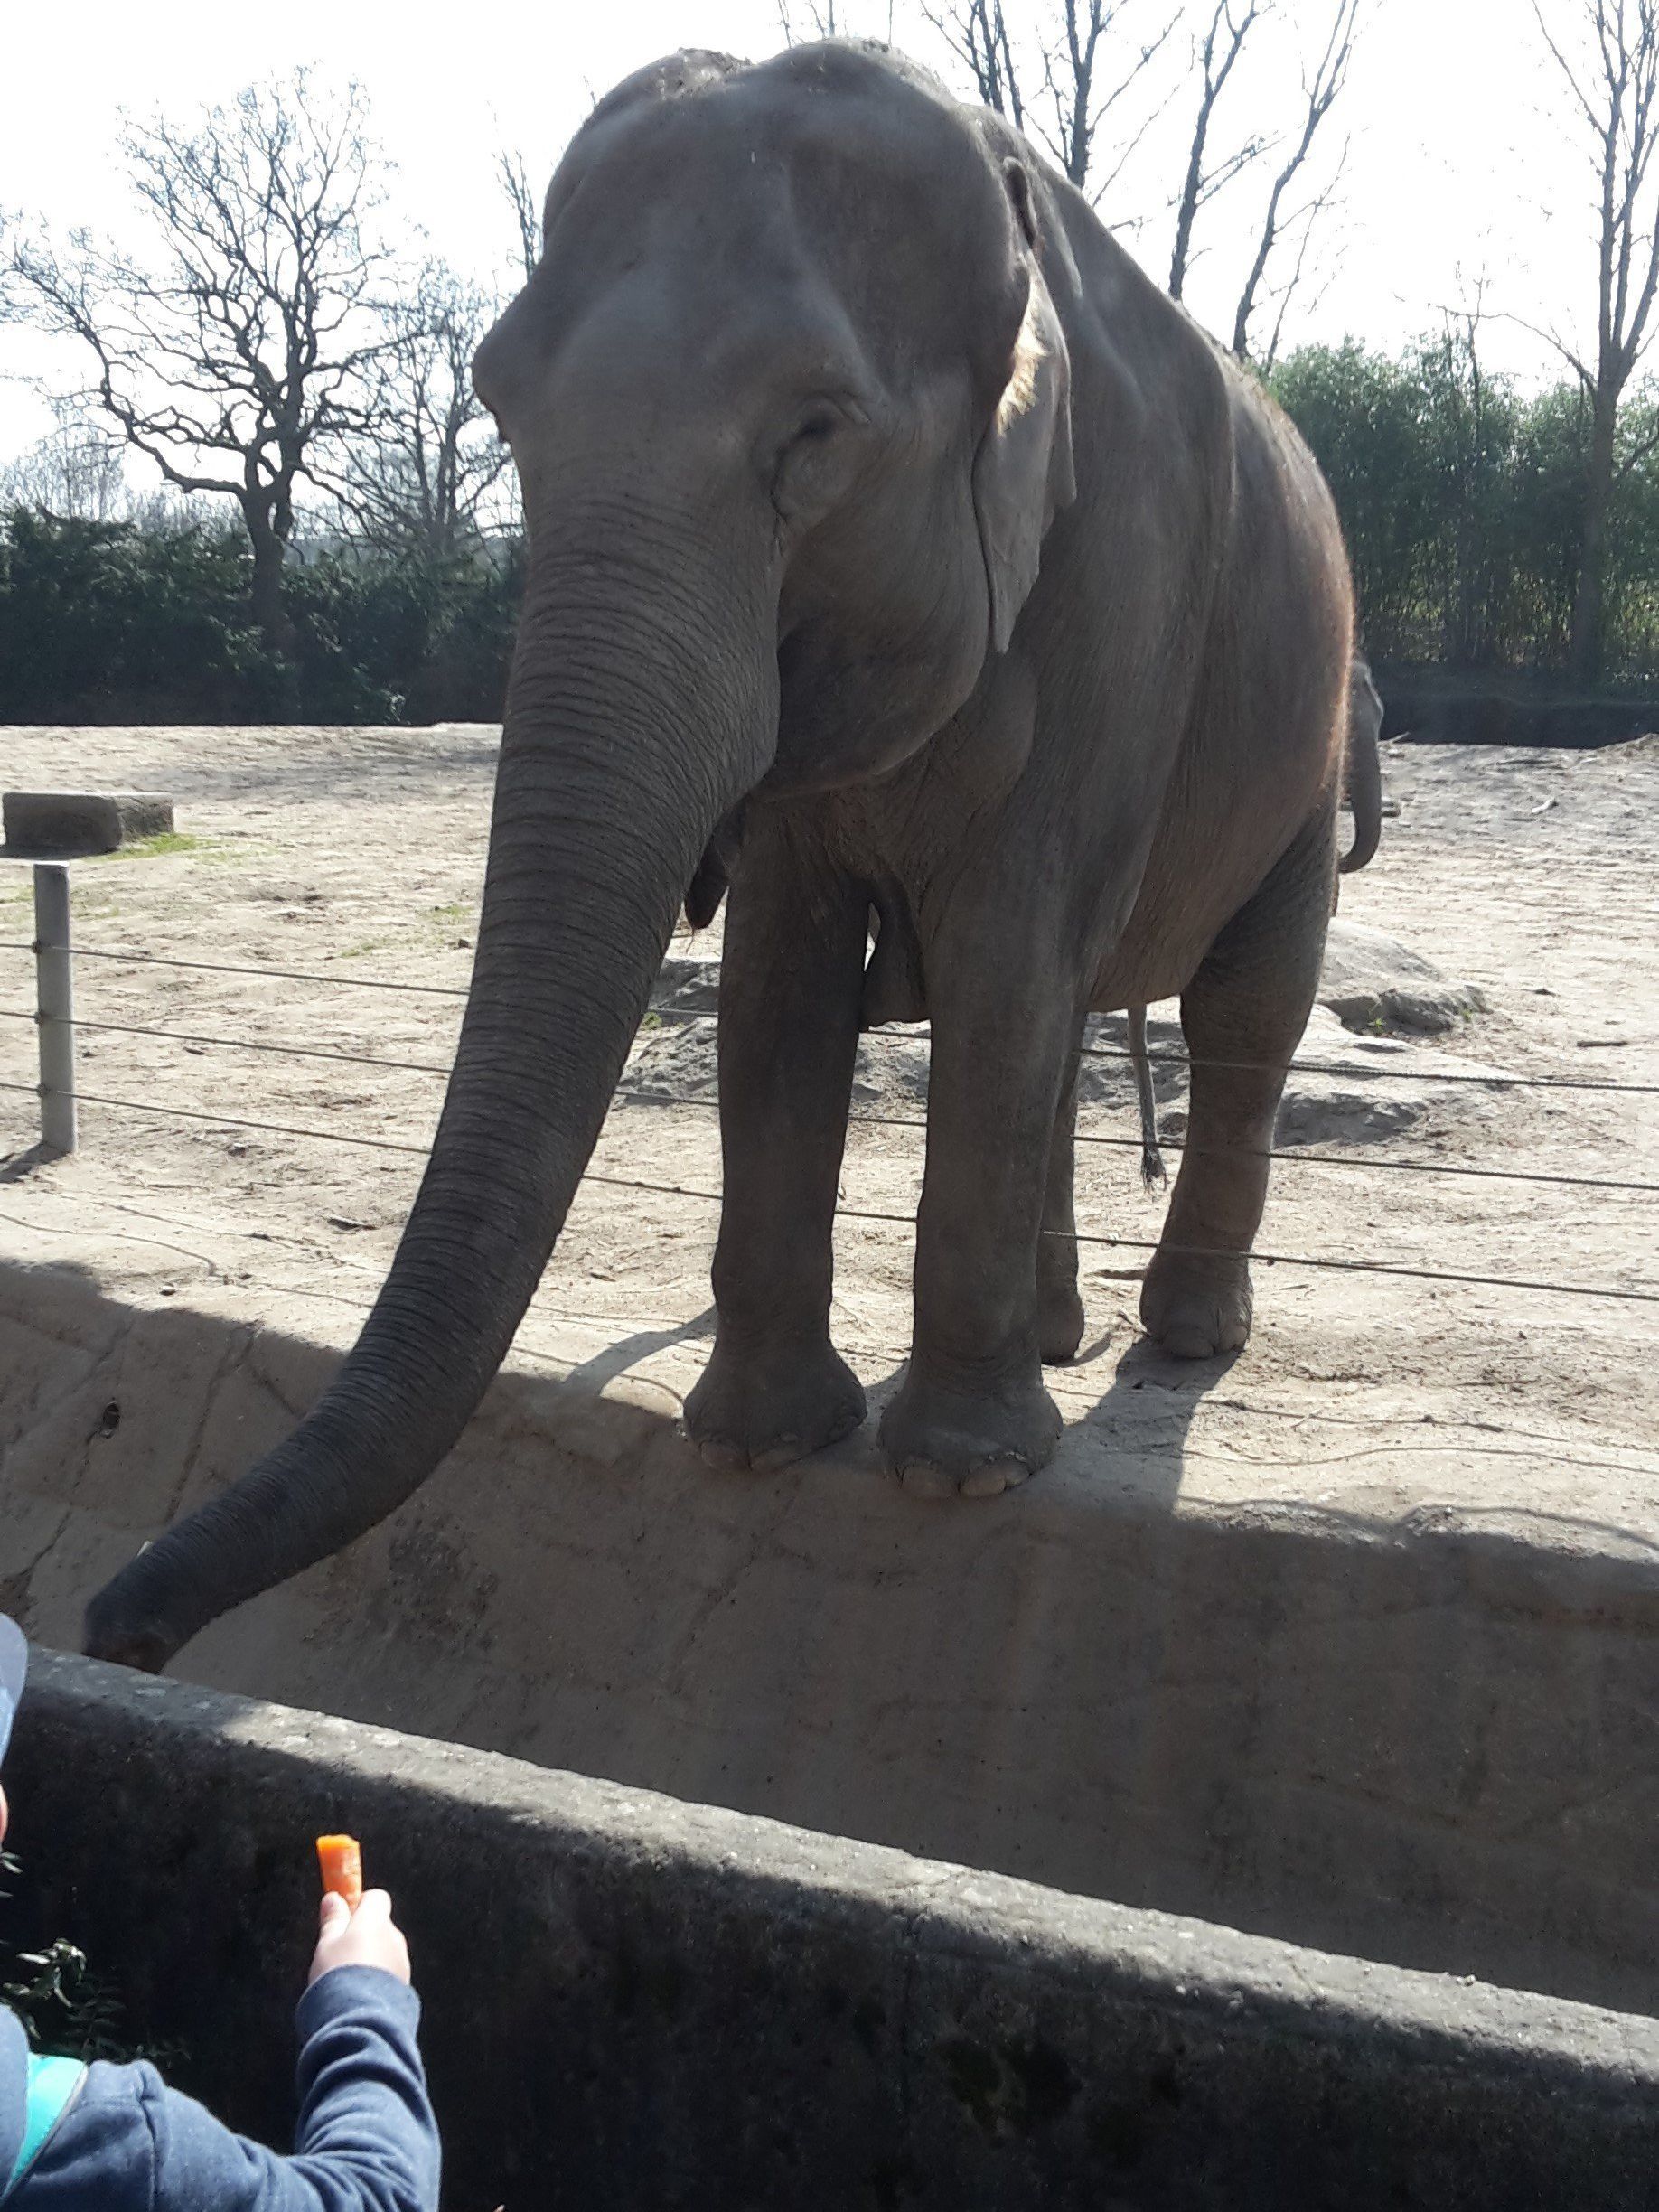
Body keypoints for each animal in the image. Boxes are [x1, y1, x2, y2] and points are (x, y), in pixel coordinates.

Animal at [84, 39, 1355, 1670]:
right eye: (498, 404)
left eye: (814, 435)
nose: (115, 1626)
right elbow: (781, 984)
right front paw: (757, 1444)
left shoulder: (1116, 596)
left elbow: (1003, 962)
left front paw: (956, 1477)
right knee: (1080, 1020)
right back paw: (1066, 1336)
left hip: (1308, 739)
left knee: (1237, 1007)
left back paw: (1183, 1342)